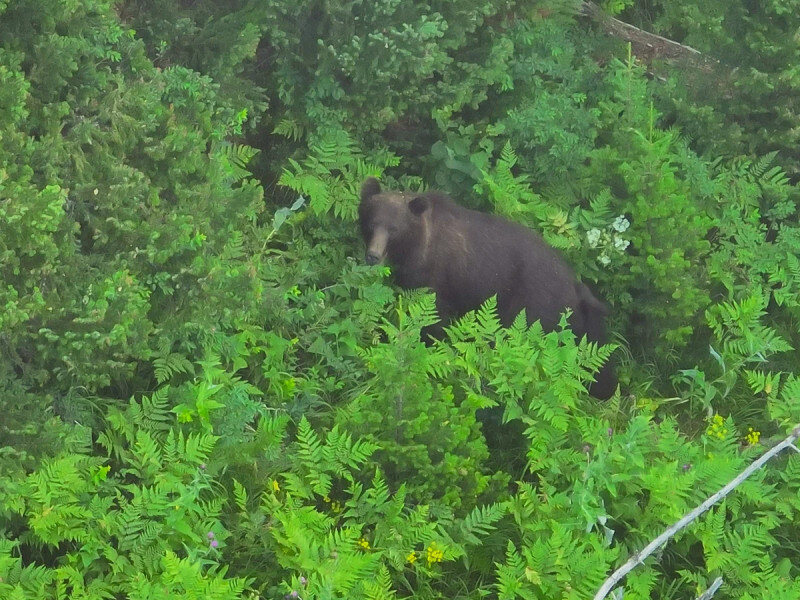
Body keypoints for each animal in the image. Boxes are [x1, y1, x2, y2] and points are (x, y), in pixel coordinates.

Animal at [360, 176, 616, 398]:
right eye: (371, 224)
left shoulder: (436, 279)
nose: (373, 255)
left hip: (534, 307)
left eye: (394, 229)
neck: (414, 247)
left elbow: (434, 321)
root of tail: (576, 286)